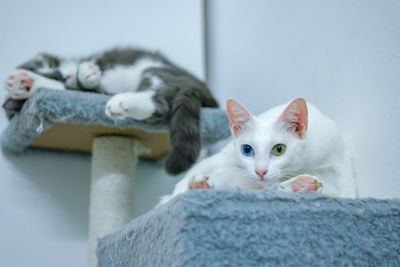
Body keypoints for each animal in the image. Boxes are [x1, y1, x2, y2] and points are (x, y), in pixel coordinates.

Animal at [2, 47, 219, 176]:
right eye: (58, 76)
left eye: (56, 70)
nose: (69, 76)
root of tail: (203, 90)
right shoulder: (91, 91)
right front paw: (27, 83)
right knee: (159, 105)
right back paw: (121, 104)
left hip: (156, 70)